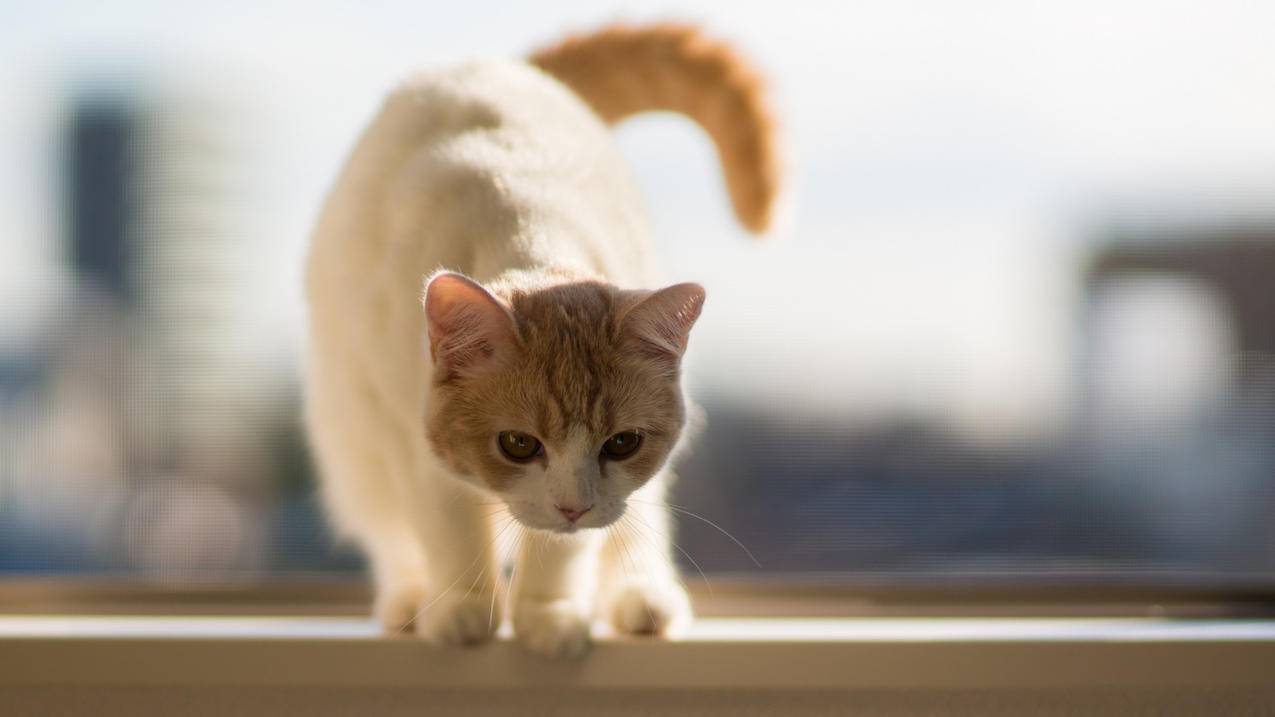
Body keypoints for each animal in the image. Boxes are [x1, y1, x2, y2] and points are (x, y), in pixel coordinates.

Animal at [303, 25, 780, 658]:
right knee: (389, 529)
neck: (531, 234)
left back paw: (642, 600)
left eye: (622, 443)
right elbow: (449, 524)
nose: (573, 506)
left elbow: (564, 547)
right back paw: (410, 601)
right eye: (517, 445)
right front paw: (464, 609)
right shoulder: (411, 434)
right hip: (354, 437)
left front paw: (547, 617)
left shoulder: (600, 498)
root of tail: (505, 67)